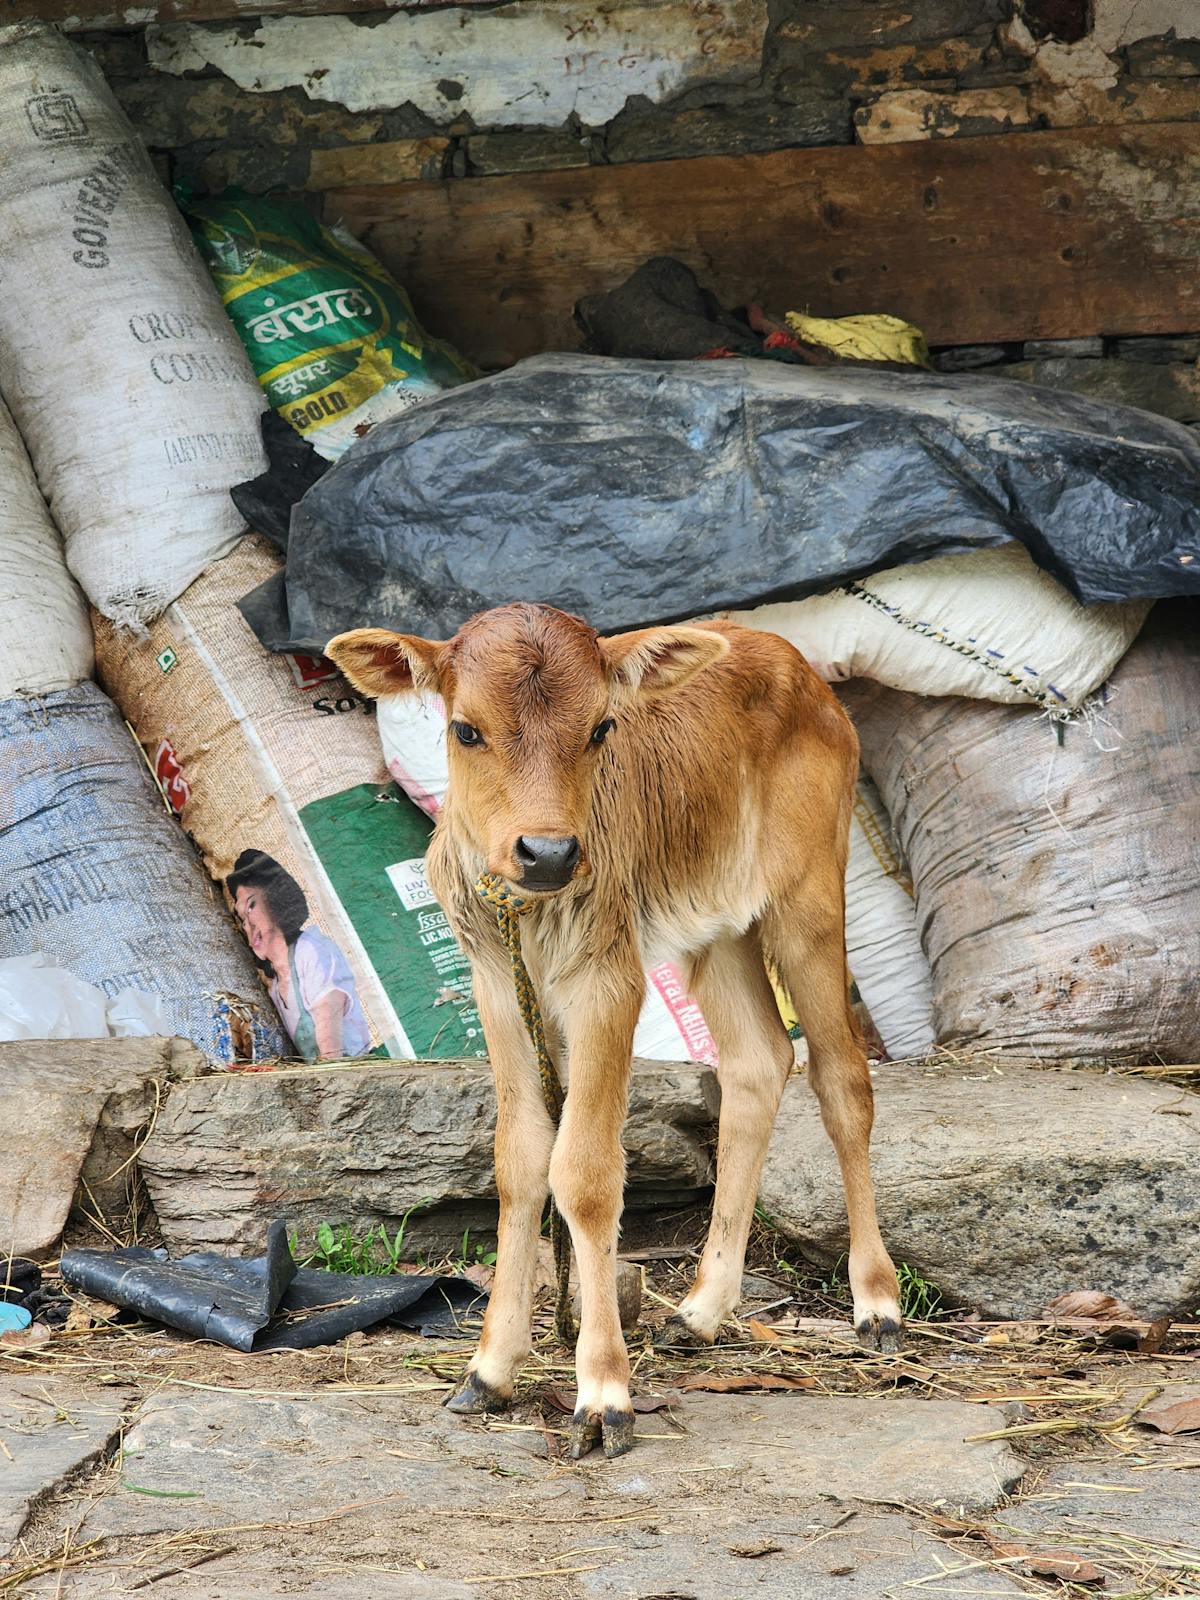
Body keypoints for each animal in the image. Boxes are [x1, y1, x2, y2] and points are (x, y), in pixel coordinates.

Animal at [325, 603, 901, 1460]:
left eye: (601, 728)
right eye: (465, 730)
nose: (549, 852)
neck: (527, 911)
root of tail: (792, 659)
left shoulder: (608, 980)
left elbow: (587, 1174)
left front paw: (603, 1395)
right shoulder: (496, 986)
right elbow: (519, 1159)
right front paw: (490, 1368)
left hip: (808, 898)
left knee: (842, 1079)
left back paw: (877, 1303)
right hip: (715, 930)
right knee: (759, 1062)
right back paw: (701, 1310)